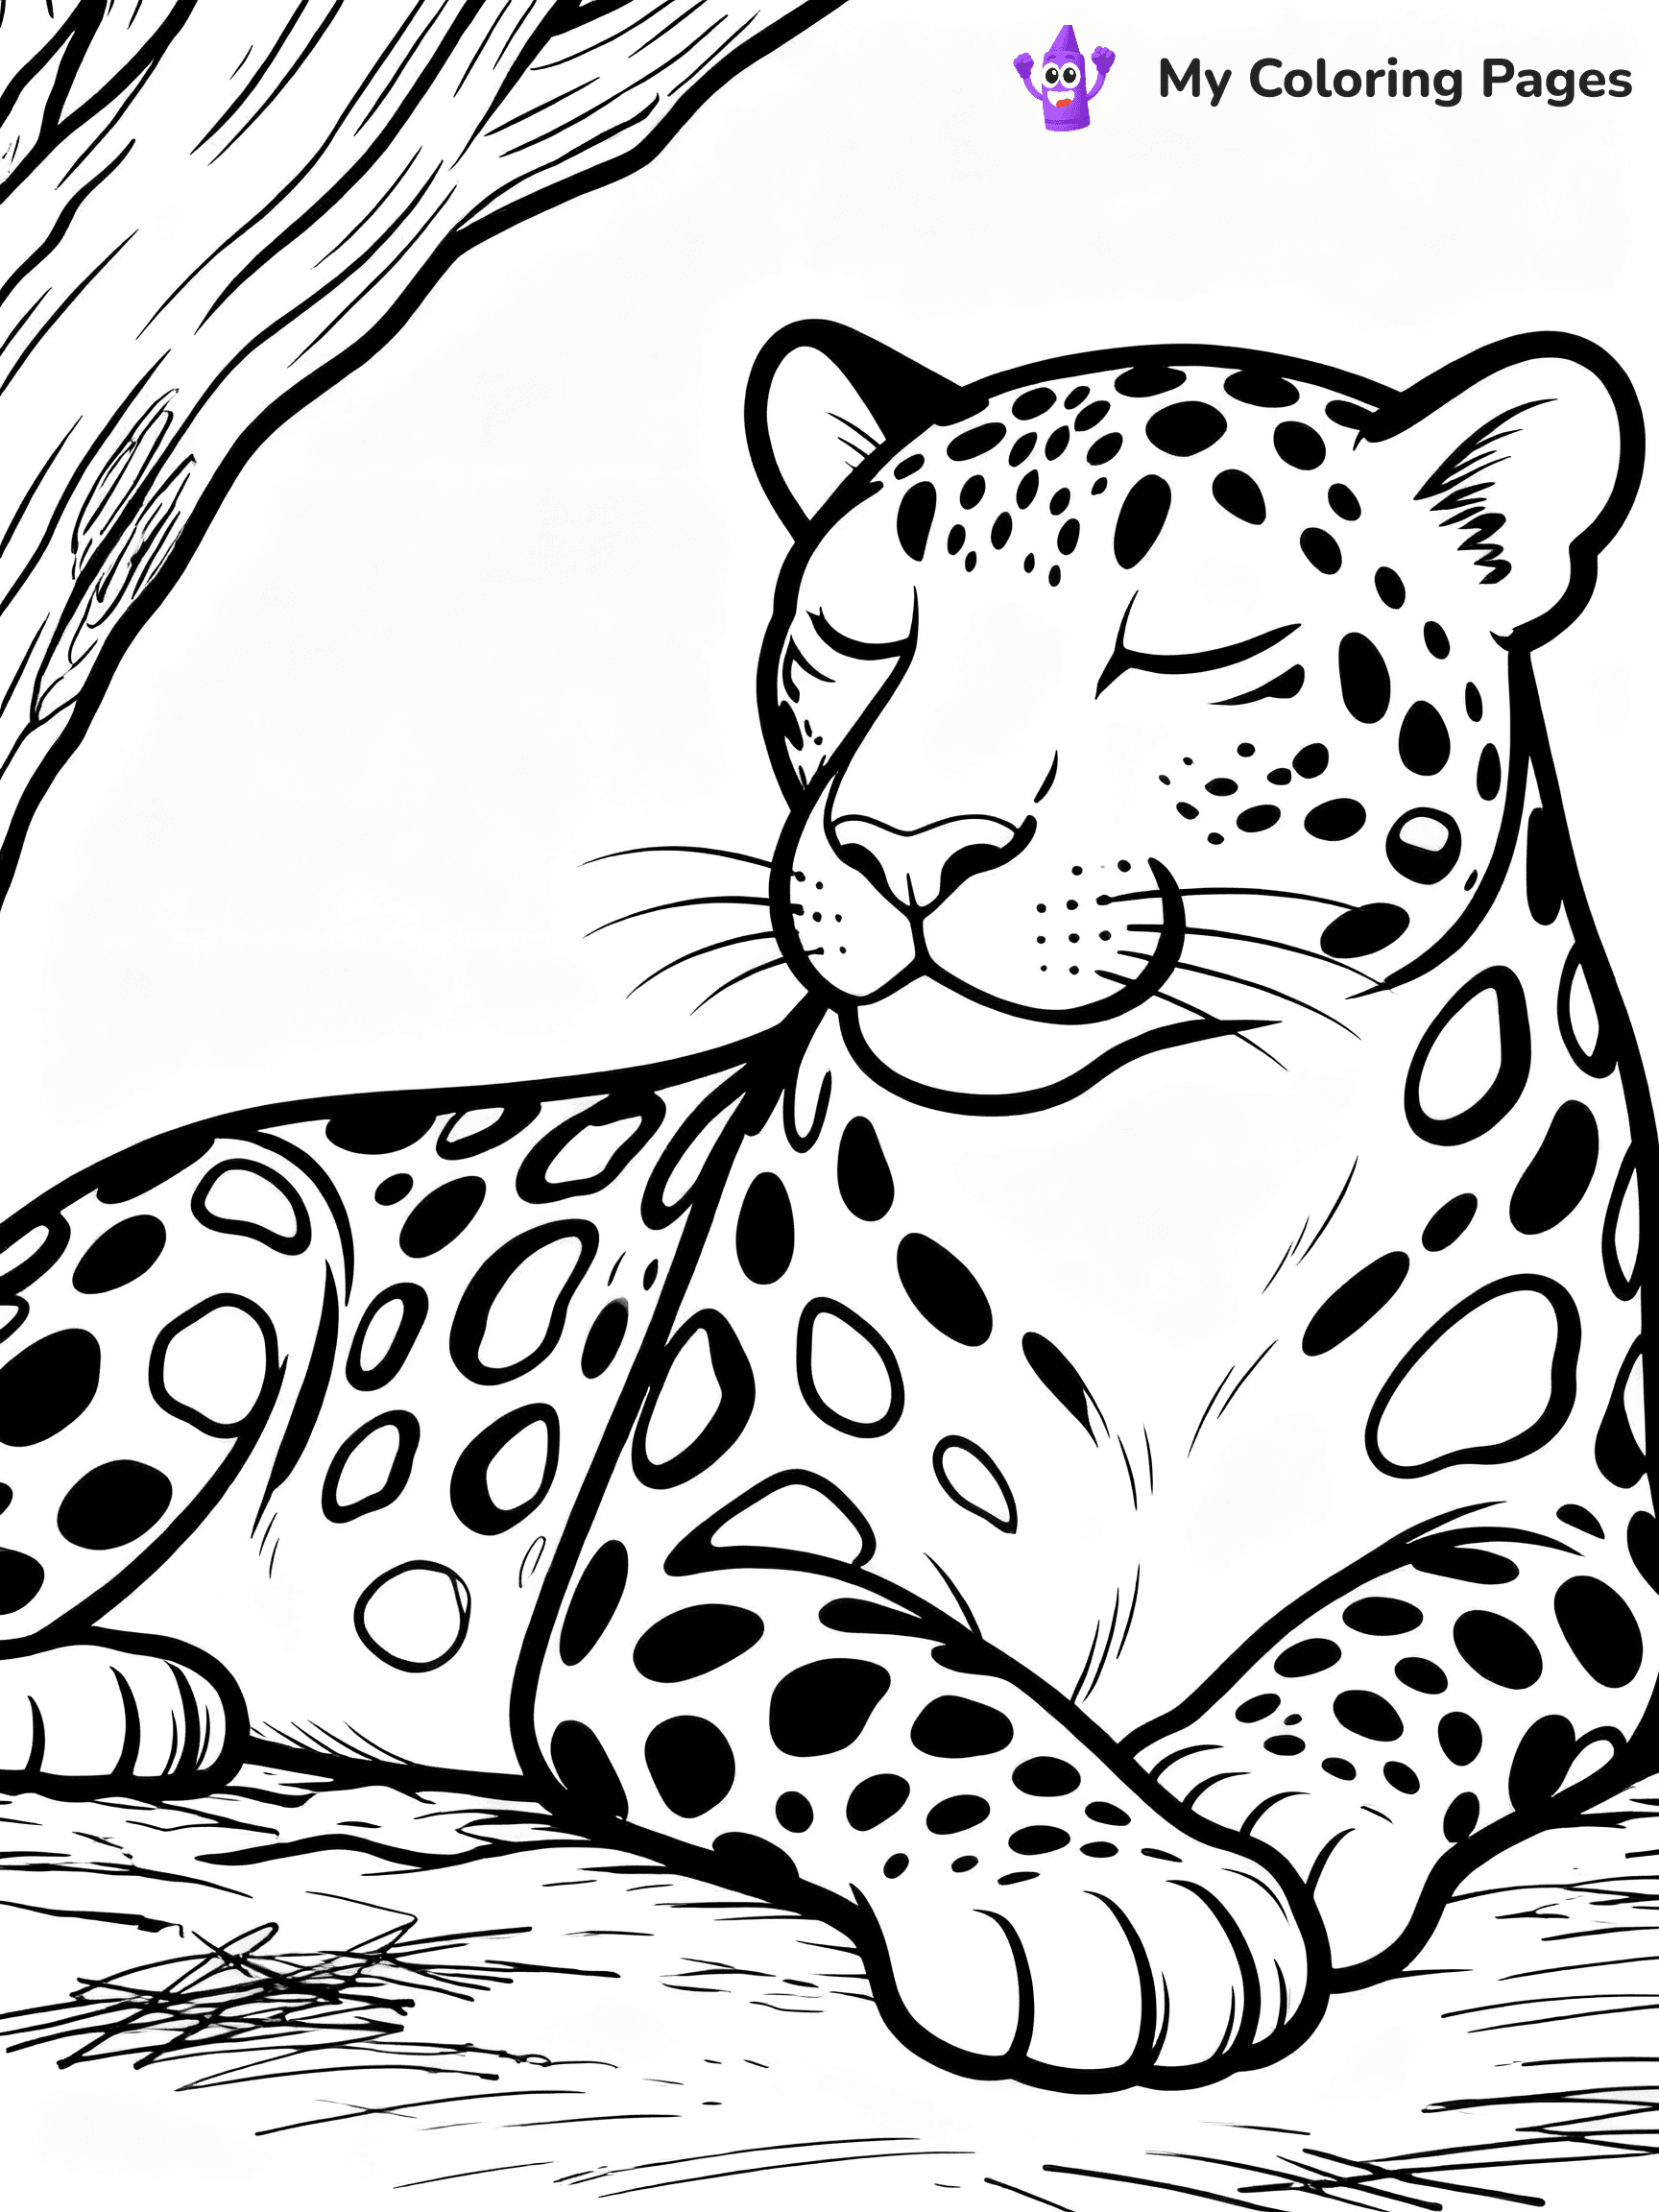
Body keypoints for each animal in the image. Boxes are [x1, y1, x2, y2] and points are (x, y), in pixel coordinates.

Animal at [0, 316, 1648, 2093]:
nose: (906, 846)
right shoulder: (696, 1552)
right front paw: (1120, 1895)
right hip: (244, 1219)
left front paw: (1254, 1783)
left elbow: (1414, 1634)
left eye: (1187, 645)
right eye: (865, 630)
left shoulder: (1575, 1521)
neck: (1169, 1158)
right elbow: (915, 1699)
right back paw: (102, 1688)